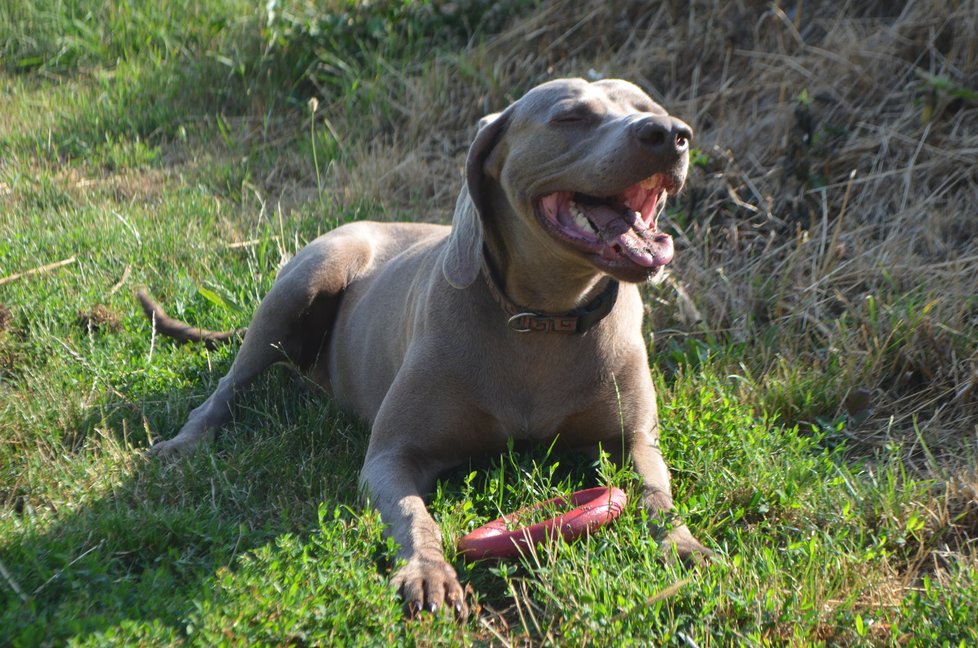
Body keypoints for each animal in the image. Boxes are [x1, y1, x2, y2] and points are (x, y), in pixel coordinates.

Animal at [139, 78, 708, 616]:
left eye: (648, 106)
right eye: (570, 116)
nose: (672, 133)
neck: (543, 318)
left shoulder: (634, 440)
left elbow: (657, 493)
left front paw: (684, 546)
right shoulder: (391, 456)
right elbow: (415, 515)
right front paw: (429, 572)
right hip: (306, 279)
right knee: (229, 383)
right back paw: (185, 441)